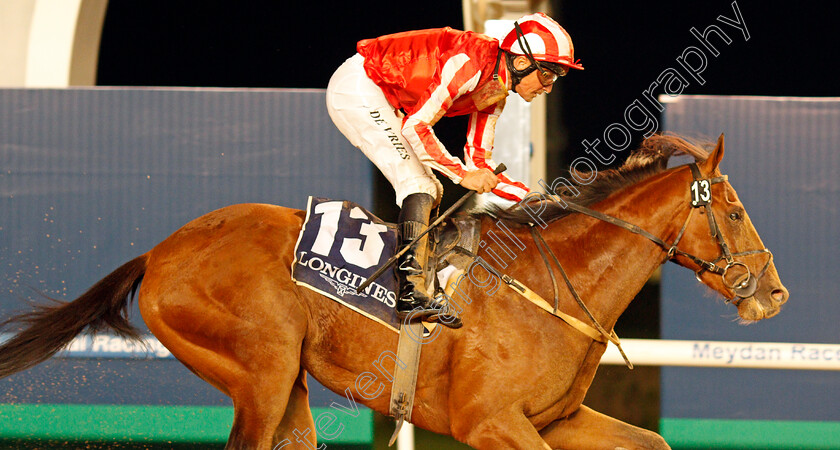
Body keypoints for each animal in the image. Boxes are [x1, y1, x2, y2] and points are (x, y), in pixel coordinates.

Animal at [0, 135, 788, 448]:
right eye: (735, 210)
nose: (774, 292)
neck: (552, 287)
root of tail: (161, 252)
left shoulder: (557, 419)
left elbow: (651, 440)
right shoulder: (488, 423)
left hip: (286, 385)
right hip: (261, 369)